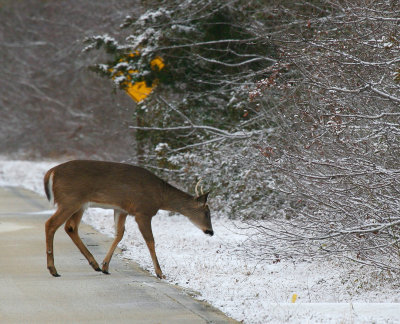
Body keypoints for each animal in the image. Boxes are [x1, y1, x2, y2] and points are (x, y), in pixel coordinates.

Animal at [43, 159, 212, 278]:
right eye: (206, 212)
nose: (210, 231)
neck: (160, 197)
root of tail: (51, 172)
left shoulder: (121, 209)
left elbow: (119, 234)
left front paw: (105, 266)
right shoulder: (142, 212)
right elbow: (150, 240)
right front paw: (160, 273)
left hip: (80, 205)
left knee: (70, 227)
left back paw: (94, 264)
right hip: (70, 201)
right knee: (51, 224)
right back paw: (53, 269)